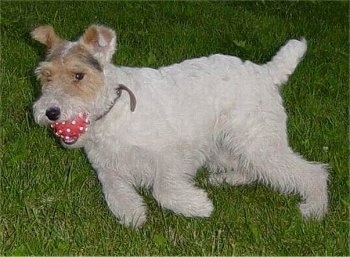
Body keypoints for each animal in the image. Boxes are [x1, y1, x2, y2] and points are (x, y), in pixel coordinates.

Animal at [30, 25, 328, 227]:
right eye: (45, 76)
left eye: (79, 75)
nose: (51, 112)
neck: (114, 109)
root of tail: (266, 72)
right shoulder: (108, 170)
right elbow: (116, 194)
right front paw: (134, 215)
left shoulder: (175, 154)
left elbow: (163, 190)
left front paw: (199, 206)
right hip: (231, 144)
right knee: (251, 170)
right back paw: (224, 179)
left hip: (258, 142)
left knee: (313, 173)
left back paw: (314, 209)